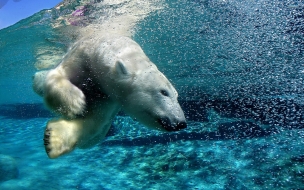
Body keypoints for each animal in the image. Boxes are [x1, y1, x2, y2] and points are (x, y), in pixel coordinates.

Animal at [32, 35, 185, 159]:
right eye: (164, 92)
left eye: (177, 95)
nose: (181, 123)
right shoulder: (81, 57)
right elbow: (58, 75)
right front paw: (76, 103)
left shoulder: (108, 97)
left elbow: (95, 120)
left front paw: (52, 139)